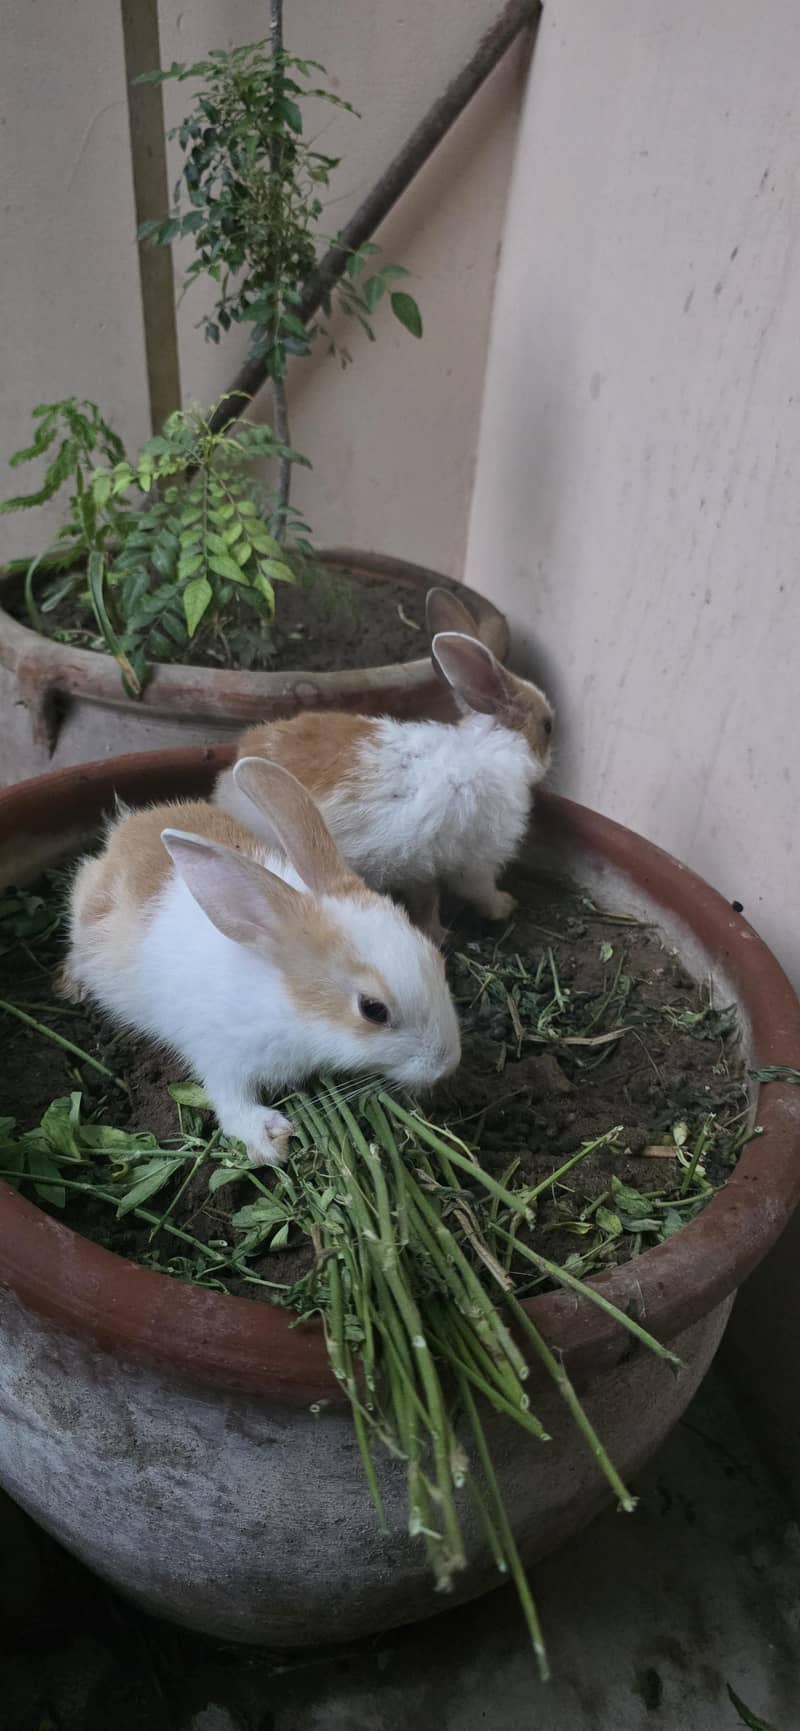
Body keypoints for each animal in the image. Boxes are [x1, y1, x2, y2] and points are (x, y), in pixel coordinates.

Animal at [62, 757, 461, 1167]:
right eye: (373, 1009)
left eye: (436, 958)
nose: (447, 1064)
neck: (286, 998)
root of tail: (121, 832)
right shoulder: (220, 1053)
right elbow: (230, 1098)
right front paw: (269, 1139)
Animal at [214, 587, 554, 942]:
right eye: (548, 726)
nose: (550, 760)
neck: (490, 749)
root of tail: (227, 786)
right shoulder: (476, 862)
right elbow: (477, 892)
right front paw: (502, 907)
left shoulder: (423, 869)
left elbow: (426, 899)